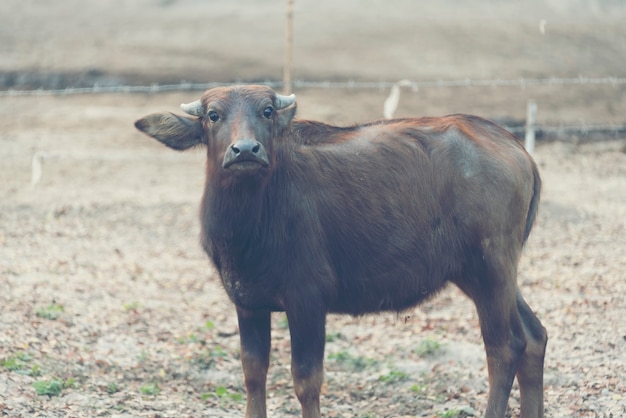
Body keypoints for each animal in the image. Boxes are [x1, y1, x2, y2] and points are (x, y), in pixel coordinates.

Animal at [134, 85, 544, 418]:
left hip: (491, 267)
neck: (252, 224)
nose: (246, 149)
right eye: (213, 115)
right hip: (481, 273)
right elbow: (253, 375)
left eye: (266, 111)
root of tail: (515, 146)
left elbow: (306, 381)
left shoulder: (307, 299)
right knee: (534, 336)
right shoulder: (248, 302)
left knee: (505, 347)